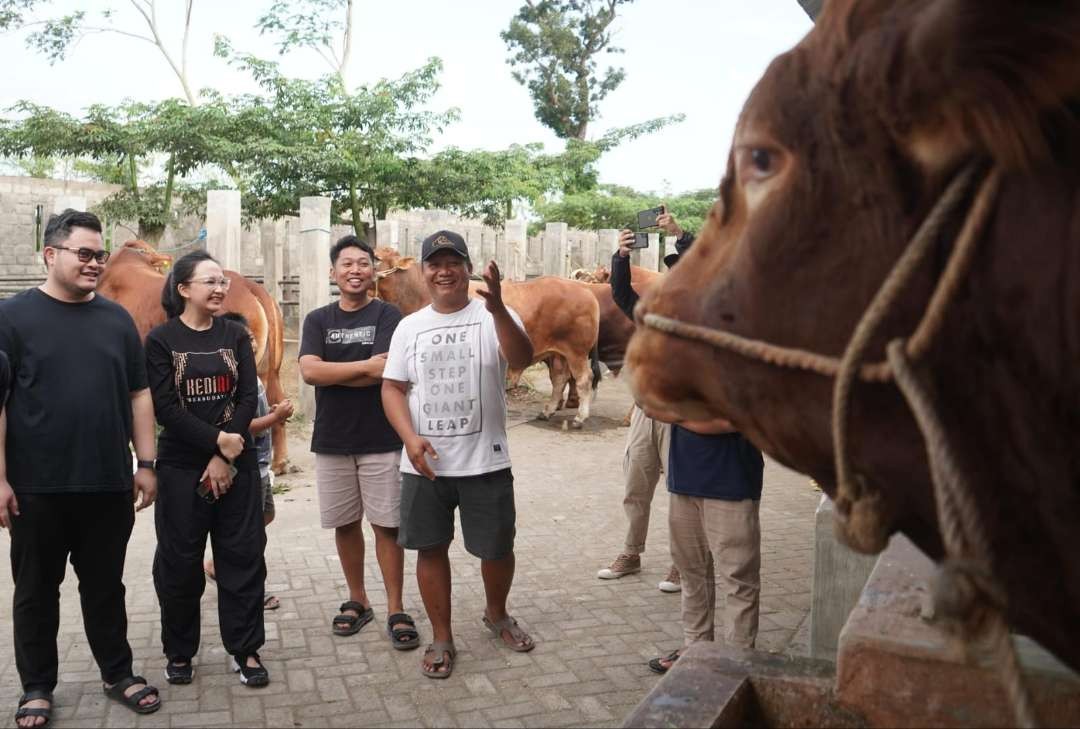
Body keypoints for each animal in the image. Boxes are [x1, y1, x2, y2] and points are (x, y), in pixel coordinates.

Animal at [375, 248, 604, 427]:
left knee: (583, 379)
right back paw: (547, 411)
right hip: (558, 353)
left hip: (577, 351)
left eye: (376, 257)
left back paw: (579, 418)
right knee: (560, 379)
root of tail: (585, 290)